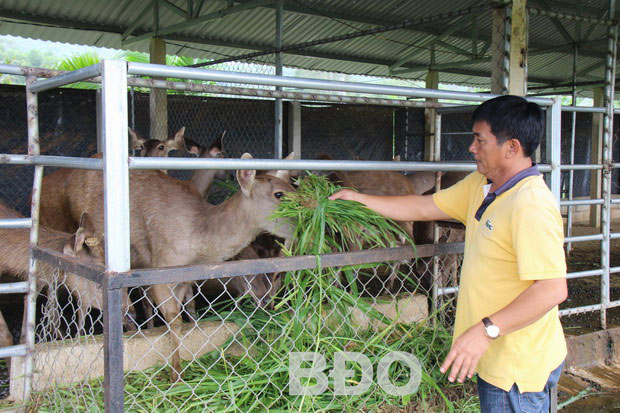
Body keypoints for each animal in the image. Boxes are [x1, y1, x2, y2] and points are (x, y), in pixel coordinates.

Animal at [43, 151, 296, 380]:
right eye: (279, 194)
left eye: (292, 185)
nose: (266, 301)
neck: (199, 243)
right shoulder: (162, 266)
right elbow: (173, 317)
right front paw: (176, 374)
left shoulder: (184, 278)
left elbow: (185, 314)